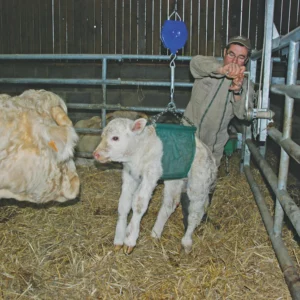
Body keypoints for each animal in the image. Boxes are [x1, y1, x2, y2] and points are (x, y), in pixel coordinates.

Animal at [92, 118, 217, 254]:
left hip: (199, 183)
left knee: (194, 214)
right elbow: (124, 204)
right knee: (170, 203)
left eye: (115, 138)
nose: (96, 154)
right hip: (175, 178)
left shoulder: (151, 174)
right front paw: (119, 239)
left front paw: (130, 240)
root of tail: (209, 153)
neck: (139, 150)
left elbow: (139, 204)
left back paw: (186, 242)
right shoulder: (129, 175)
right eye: (102, 136)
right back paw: (156, 233)